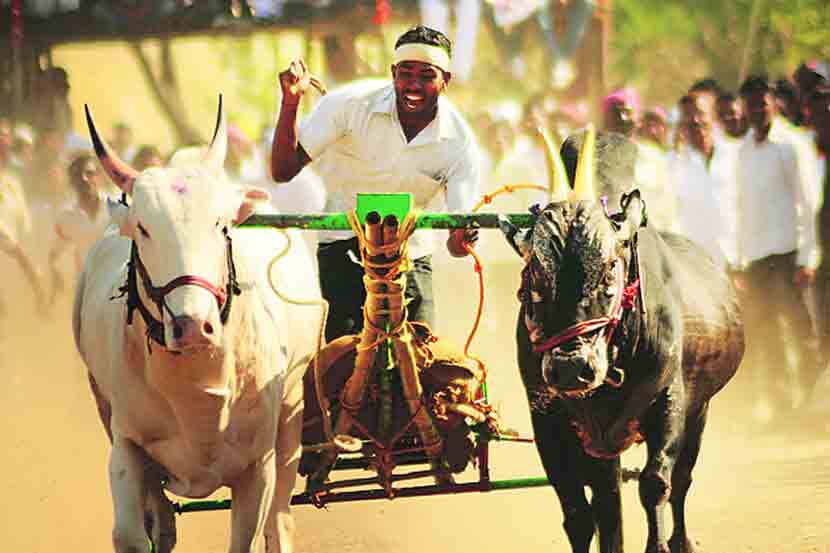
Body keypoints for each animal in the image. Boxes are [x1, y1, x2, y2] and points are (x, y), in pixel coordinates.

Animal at [75, 99, 324, 552]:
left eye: (221, 224)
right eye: (143, 228)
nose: (192, 325)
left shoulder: (258, 466)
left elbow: (249, 537)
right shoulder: (126, 444)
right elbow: (130, 535)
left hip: (292, 410)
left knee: (280, 521)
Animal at [504, 132, 752, 548]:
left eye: (609, 269)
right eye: (535, 272)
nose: (571, 368)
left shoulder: (670, 401)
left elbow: (655, 485)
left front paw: (661, 544)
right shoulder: (548, 420)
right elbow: (579, 514)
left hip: (700, 410)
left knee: (681, 481)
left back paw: (682, 539)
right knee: (607, 501)